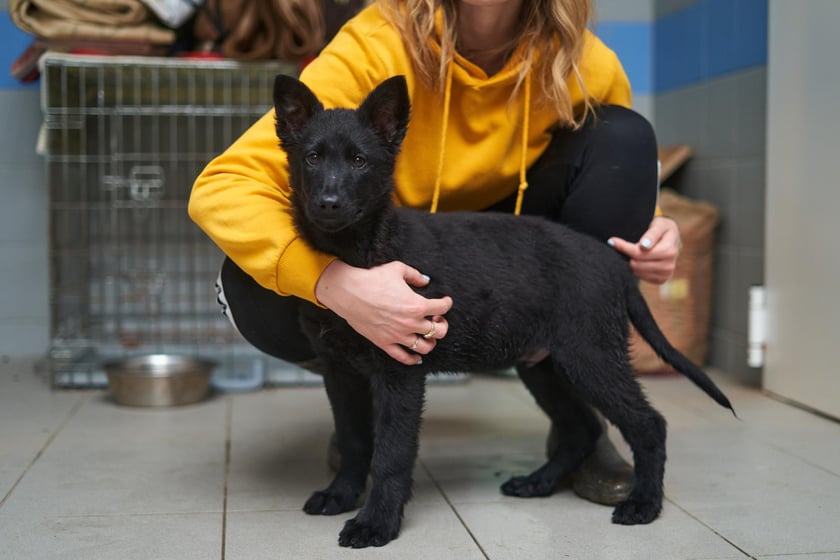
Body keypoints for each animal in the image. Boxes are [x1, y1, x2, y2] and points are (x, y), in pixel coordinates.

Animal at [272, 73, 732, 548]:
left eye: (360, 161)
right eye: (311, 157)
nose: (328, 203)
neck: (357, 253)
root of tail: (613, 263)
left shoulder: (400, 373)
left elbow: (391, 455)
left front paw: (376, 522)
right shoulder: (339, 372)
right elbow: (354, 441)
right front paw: (341, 494)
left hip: (592, 358)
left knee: (648, 424)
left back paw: (644, 504)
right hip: (545, 367)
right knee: (581, 430)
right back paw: (538, 483)